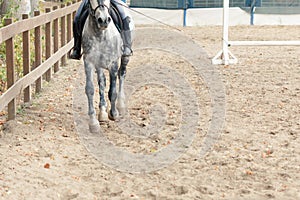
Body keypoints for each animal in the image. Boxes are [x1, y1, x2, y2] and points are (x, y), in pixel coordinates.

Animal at [81, 0, 131, 133]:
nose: (103, 20)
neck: (100, 35)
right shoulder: (89, 62)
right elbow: (90, 89)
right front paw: (93, 122)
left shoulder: (113, 63)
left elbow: (112, 91)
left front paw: (114, 113)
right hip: (99, 65)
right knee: (102, 82)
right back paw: (102, 112)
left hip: (125, 57)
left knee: (122, 74)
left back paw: (120, 105)